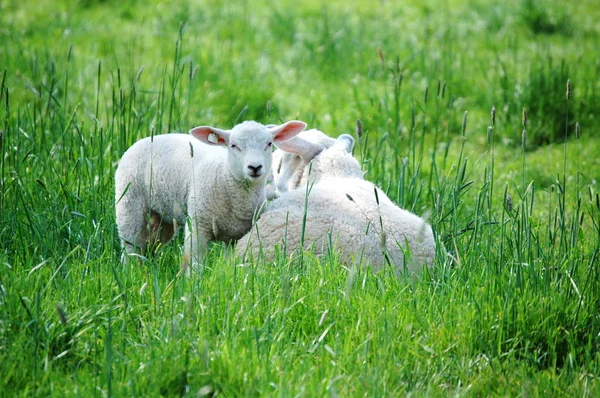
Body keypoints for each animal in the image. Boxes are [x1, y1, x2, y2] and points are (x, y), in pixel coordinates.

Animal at [115, 119, 308, 272]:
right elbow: (195, 263)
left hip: (163, 216)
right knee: (130, 243)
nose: (255, 167)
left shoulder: (237, 235)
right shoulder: (198, 225)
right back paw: (130, 272)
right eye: (233, 145)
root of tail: (150, 137)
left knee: (150, 242)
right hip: (128, 202)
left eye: (268, 144)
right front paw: (193, 286)